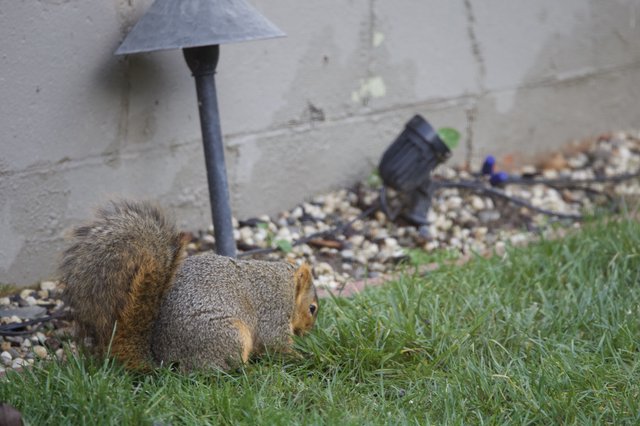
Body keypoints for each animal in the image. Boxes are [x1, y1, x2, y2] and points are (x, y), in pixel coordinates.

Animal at [59, 199, 318, 372]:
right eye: (312, 308)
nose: (309, 331)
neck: (286, 285)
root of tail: (163, 359)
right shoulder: (273, 312)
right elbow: (275, 343)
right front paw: (302, 357)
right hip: (229, 335)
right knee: (226, 369)